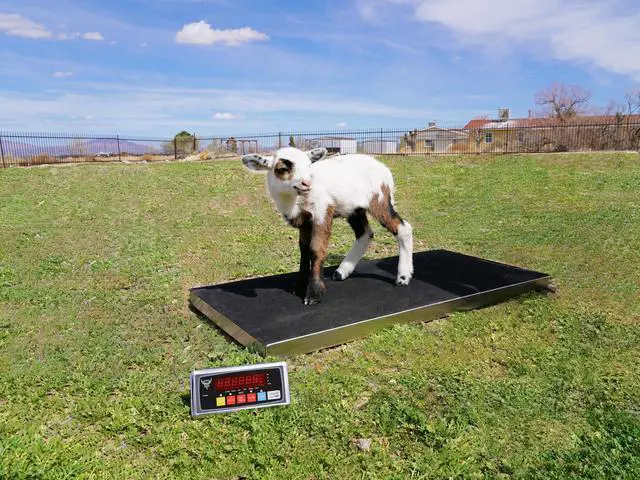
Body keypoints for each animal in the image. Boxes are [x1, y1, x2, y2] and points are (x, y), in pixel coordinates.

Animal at [242, 146, 413, 305]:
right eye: (283, 169)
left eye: (308, 165)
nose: (307, 183)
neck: (294, 200)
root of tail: (384, 168)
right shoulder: (304, 220)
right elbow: (304, 250)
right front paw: (300, 285)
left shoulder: (322, 210)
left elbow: (316, 249)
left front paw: (314, 293)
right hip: (353, 208)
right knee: (364, 234)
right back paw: (342, 272)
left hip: (379, 199)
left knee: (403, 228)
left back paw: (403, 277)